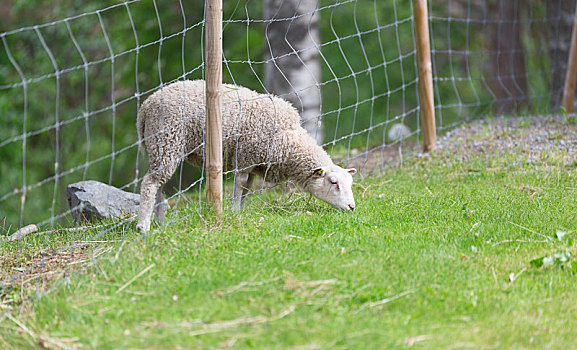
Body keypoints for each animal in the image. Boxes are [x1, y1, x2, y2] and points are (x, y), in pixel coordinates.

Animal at [135, 79, 356, 232]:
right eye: (333, 182)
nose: (352, 207)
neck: (288, 141)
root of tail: (146, 105)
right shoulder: (245, 157)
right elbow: (239, 184)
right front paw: (233, 212)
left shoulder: (254, 164)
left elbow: (247, 188)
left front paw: (240, 210)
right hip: (166, 141)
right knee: (150, 183)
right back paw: (143, 225)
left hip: (163, 148)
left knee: (158, 184)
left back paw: (160, 221)